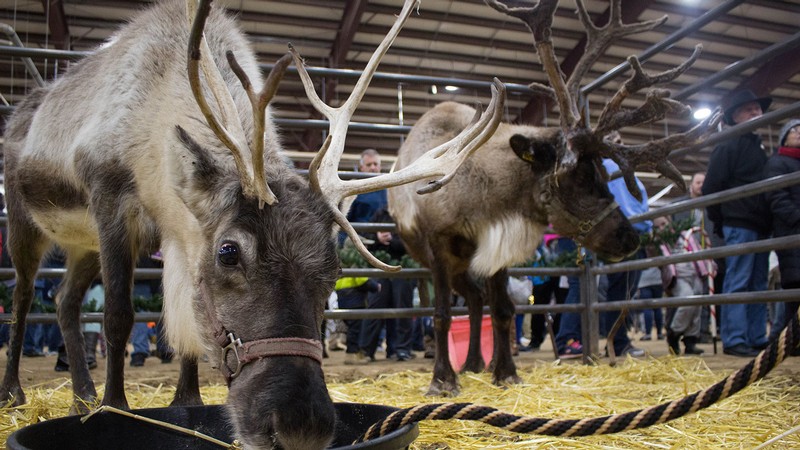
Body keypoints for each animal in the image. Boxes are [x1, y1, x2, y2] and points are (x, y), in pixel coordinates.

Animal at [0, 0, 506, 448]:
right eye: (229, 252)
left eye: (335, 269)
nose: (301, 427)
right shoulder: (111, 201)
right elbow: (119, 315)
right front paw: (116, 406)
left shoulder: (177, 231)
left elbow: (186, 323)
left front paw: (187, 399)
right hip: (25, 222)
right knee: (24, 297)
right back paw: (17, 391)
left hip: (80, 245)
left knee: (63, 300)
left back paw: (81, 395)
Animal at [388, 0, 721, 397]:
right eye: (581, 176)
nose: (630, 239)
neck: (481, 191)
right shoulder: (439, 244)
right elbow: (439, 315)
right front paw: (442, 381)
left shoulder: (497, 245)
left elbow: (503, 309)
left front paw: (506, 373)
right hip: (438, 260)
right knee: (467, 299)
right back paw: (466, 366)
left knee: (477, 298)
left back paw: (476, 363)